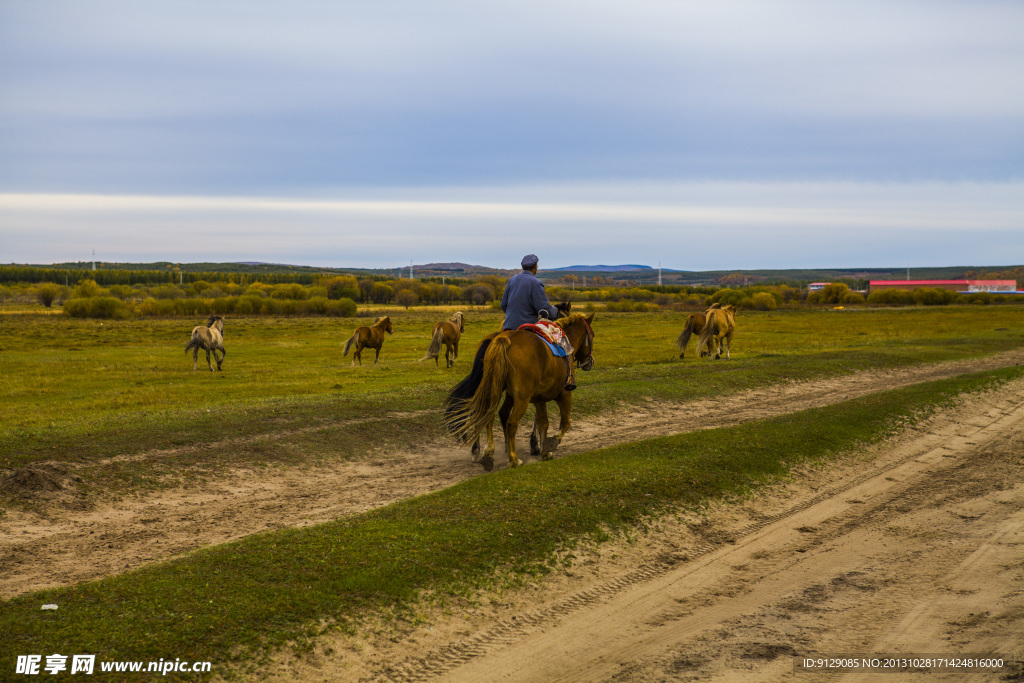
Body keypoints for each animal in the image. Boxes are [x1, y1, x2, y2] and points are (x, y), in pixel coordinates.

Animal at [444, 313, 598, 471]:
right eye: (592, 334)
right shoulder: (565, 395)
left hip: (495, 389)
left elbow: (544, 423)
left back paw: (488, 452)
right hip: (522, 398)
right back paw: (513, 459)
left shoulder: (539, 399)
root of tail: (504, 339)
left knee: (489, 415)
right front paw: (550, 443)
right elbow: (565, 423)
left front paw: (544, 452)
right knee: (511, 422)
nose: (590, 361)